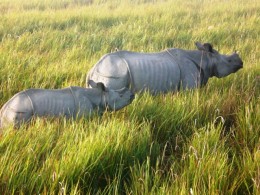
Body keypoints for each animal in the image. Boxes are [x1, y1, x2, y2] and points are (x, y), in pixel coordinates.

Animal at [0, 80, 134, 129]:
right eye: (120, 95)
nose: (132, 94)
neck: (99, 96)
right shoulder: (84, 116)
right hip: (20, 110)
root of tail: (4, 109)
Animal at [86, 42, 243, 95]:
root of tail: (92, 70)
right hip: (113, 73)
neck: (206, 59)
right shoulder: (189, 85)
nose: (241, 63)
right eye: (229, 60)